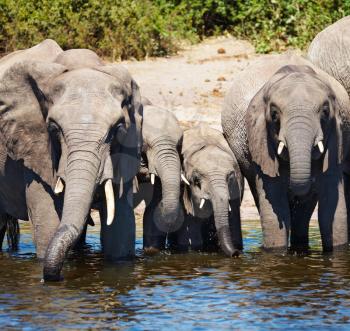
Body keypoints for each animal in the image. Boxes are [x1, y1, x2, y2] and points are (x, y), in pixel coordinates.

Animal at [0, 40, 143, 282]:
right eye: (54, 128)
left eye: (117, 128)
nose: (55, 278)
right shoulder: (36, 149)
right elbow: (49, 226)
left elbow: (121, 229)